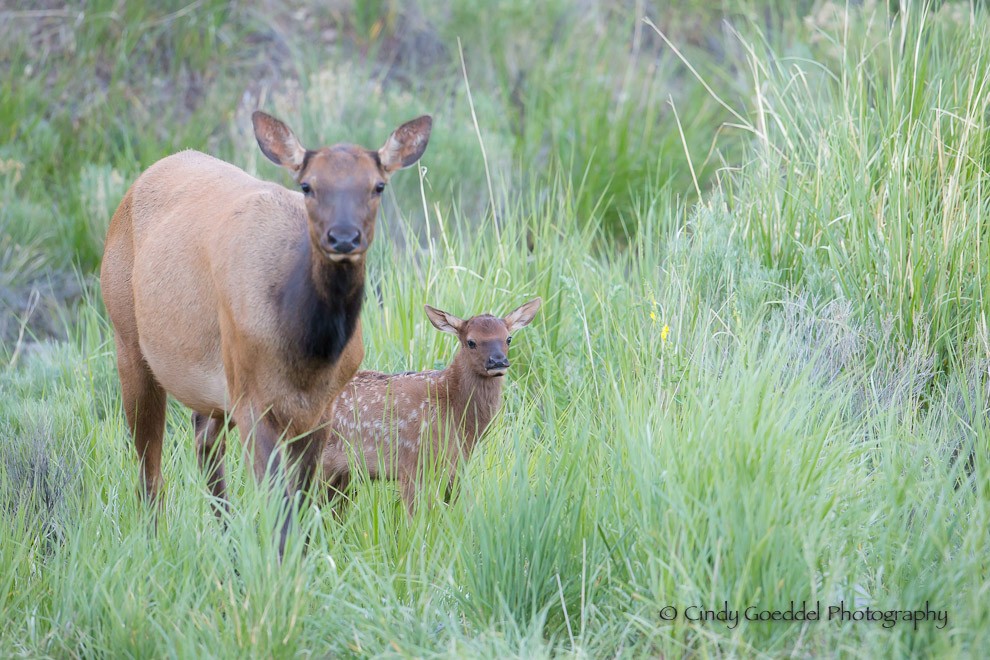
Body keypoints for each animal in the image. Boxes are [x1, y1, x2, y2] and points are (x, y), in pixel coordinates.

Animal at [100, 112, 434, 552]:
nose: (344, 237)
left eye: (378, 185)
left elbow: (304, 503)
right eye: (308, 185)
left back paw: (226, 539)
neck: (307, 353)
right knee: (149, 468)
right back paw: (156, 542)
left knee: (202, 438)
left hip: (216, 389)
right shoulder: (253, 401)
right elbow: (279, 509)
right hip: (129, 341)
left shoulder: (323, 408)